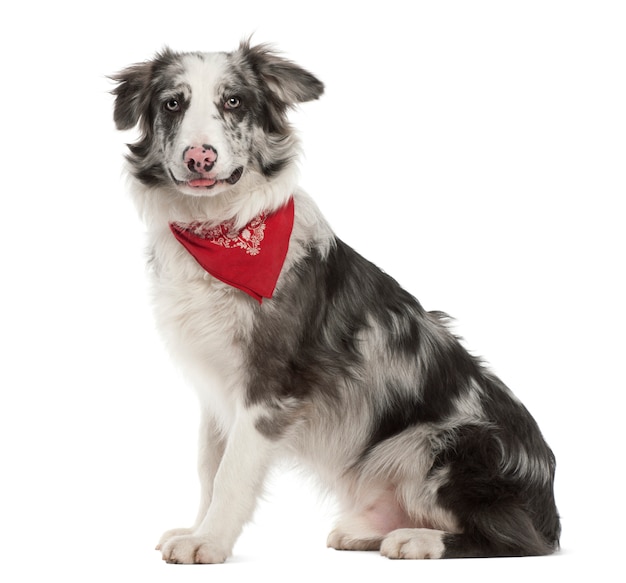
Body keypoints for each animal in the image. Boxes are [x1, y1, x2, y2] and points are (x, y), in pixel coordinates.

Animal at [109, 40, 560, 560]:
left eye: (234, 102)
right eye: (172, 104)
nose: (199, 156)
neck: (221, 230)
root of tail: (550, 512)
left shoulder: (270, 383)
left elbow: (232, 472)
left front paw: (210, 542)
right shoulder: (216, 385)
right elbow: (209, 465)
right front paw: (197, 528)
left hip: (446, 441)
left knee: (512, 537)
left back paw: (417, 539)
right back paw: (371, 530)